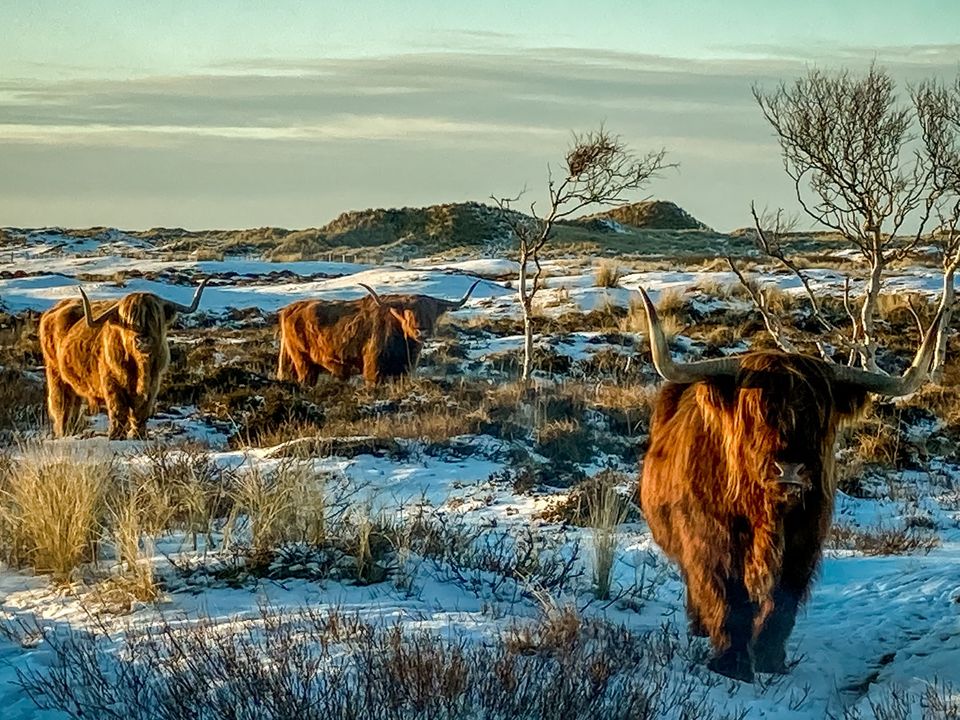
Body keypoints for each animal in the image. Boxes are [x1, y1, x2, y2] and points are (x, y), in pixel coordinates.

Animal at [39, 279, 208, 439]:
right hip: (56, 375)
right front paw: (115, 436)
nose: (142, 340)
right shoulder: (112, 383)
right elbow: (118, 410)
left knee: (73, 406)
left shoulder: (153, 384)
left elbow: (140, 412)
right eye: (128, 320)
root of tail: (54, 309)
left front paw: (139, 435)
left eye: (154, 318)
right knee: (62, 406)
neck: (140, 367)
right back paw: (64, 432)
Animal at [636, 287, 943, 682]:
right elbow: (728, 600)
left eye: (818, 412)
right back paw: (699, 628)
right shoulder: (712, 544)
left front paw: (770, 660)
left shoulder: (803, 545)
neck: (766, 515)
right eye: (754, 411)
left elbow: (781, 605)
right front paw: (732, 664)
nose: (790, 468)